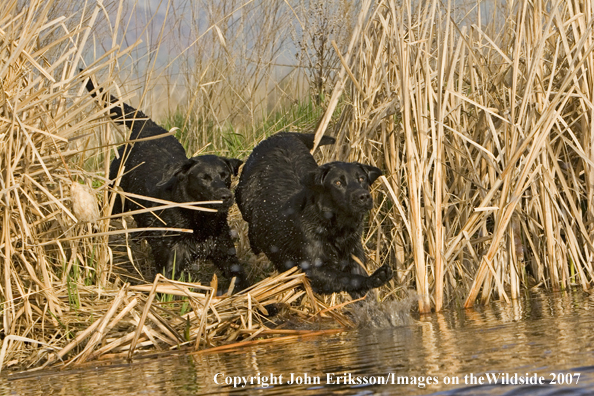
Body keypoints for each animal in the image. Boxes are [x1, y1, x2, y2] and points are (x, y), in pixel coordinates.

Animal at [84, 77, 246, 290]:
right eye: (204, 178)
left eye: (225, 175)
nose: (225, 196)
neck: (198, 220)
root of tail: (146, 127)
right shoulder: (170, 262)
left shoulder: (226, 255)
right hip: (115, 198)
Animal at [234, 132, 390, 294]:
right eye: (338, 183)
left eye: (361, 179)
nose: (363, 196)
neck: (337, 229)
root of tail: (281, 134)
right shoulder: (312, 268)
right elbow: (348, 278)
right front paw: (375, 277)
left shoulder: (354, 252)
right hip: (243, 198)